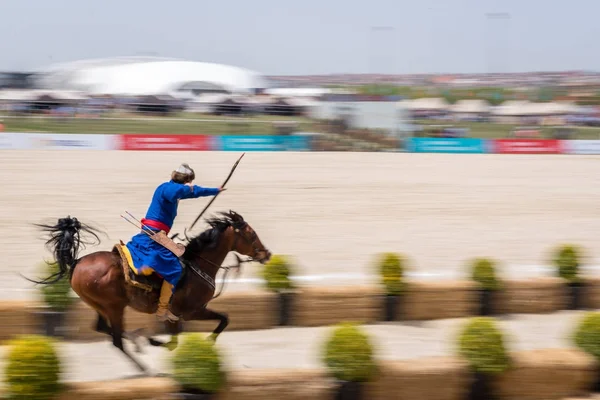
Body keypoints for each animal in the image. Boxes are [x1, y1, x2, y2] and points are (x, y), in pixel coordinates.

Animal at [30, 211, 270, 374]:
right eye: (251, 234)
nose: (266, 254)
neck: (196, 265)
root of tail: (77, 262)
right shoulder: (190, 311)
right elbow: (220, 321)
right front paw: (206, 342)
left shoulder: (179, 315)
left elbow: (190, 333)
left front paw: (152, 339)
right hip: (114, 307)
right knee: (116, 340)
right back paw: (144, 366)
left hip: (99, 305)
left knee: (102, 327)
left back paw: (137, 339)